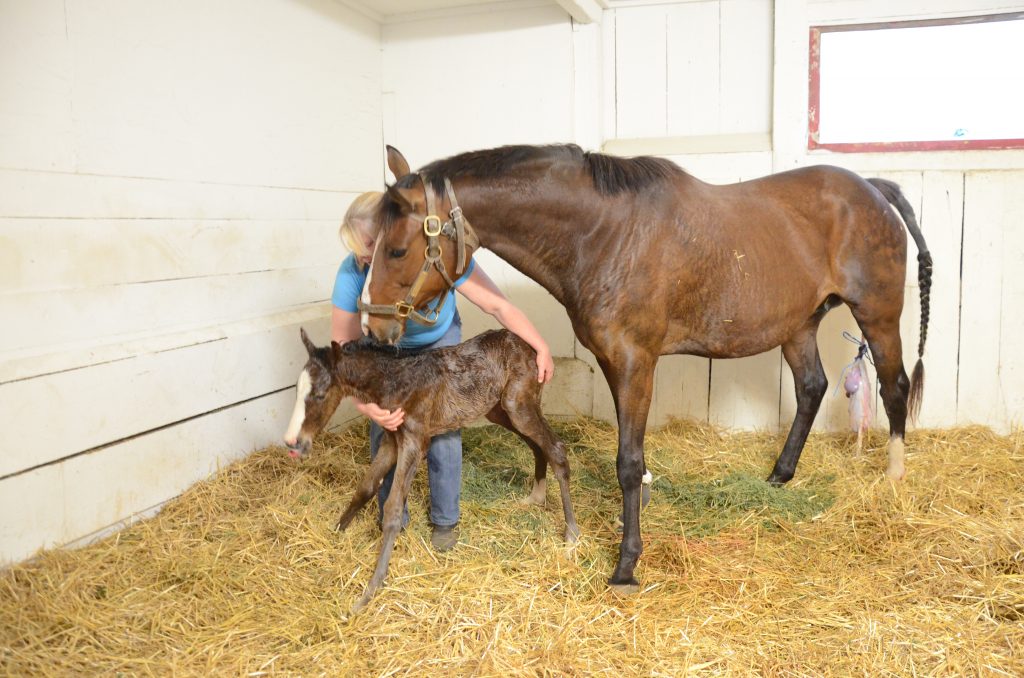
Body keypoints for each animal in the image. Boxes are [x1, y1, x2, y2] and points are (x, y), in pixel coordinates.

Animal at [284, 329, 581, 610]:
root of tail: (530, 346)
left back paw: (571, 534)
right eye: (296, 391)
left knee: (556, 449)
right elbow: (365, 487)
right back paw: (536, 496)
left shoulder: (415, 441)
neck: (395, 382)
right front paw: (334, 534)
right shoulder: (392, 439)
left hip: (517, 405)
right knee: (538, 447)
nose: (292, 442)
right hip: (499, 410)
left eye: (319, 394)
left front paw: (369, 591)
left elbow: (393, 507)